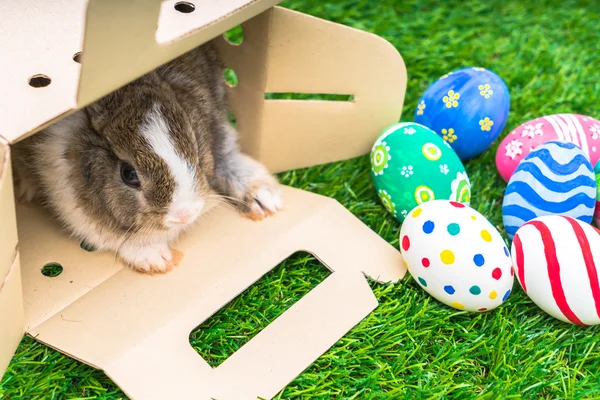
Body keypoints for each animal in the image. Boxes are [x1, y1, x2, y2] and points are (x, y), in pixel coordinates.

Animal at [11, 42, 284, 276]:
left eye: (196, 147)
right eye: (128, 174)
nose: (184, 215)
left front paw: (268, 200)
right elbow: (114, 237)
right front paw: (159, 260)